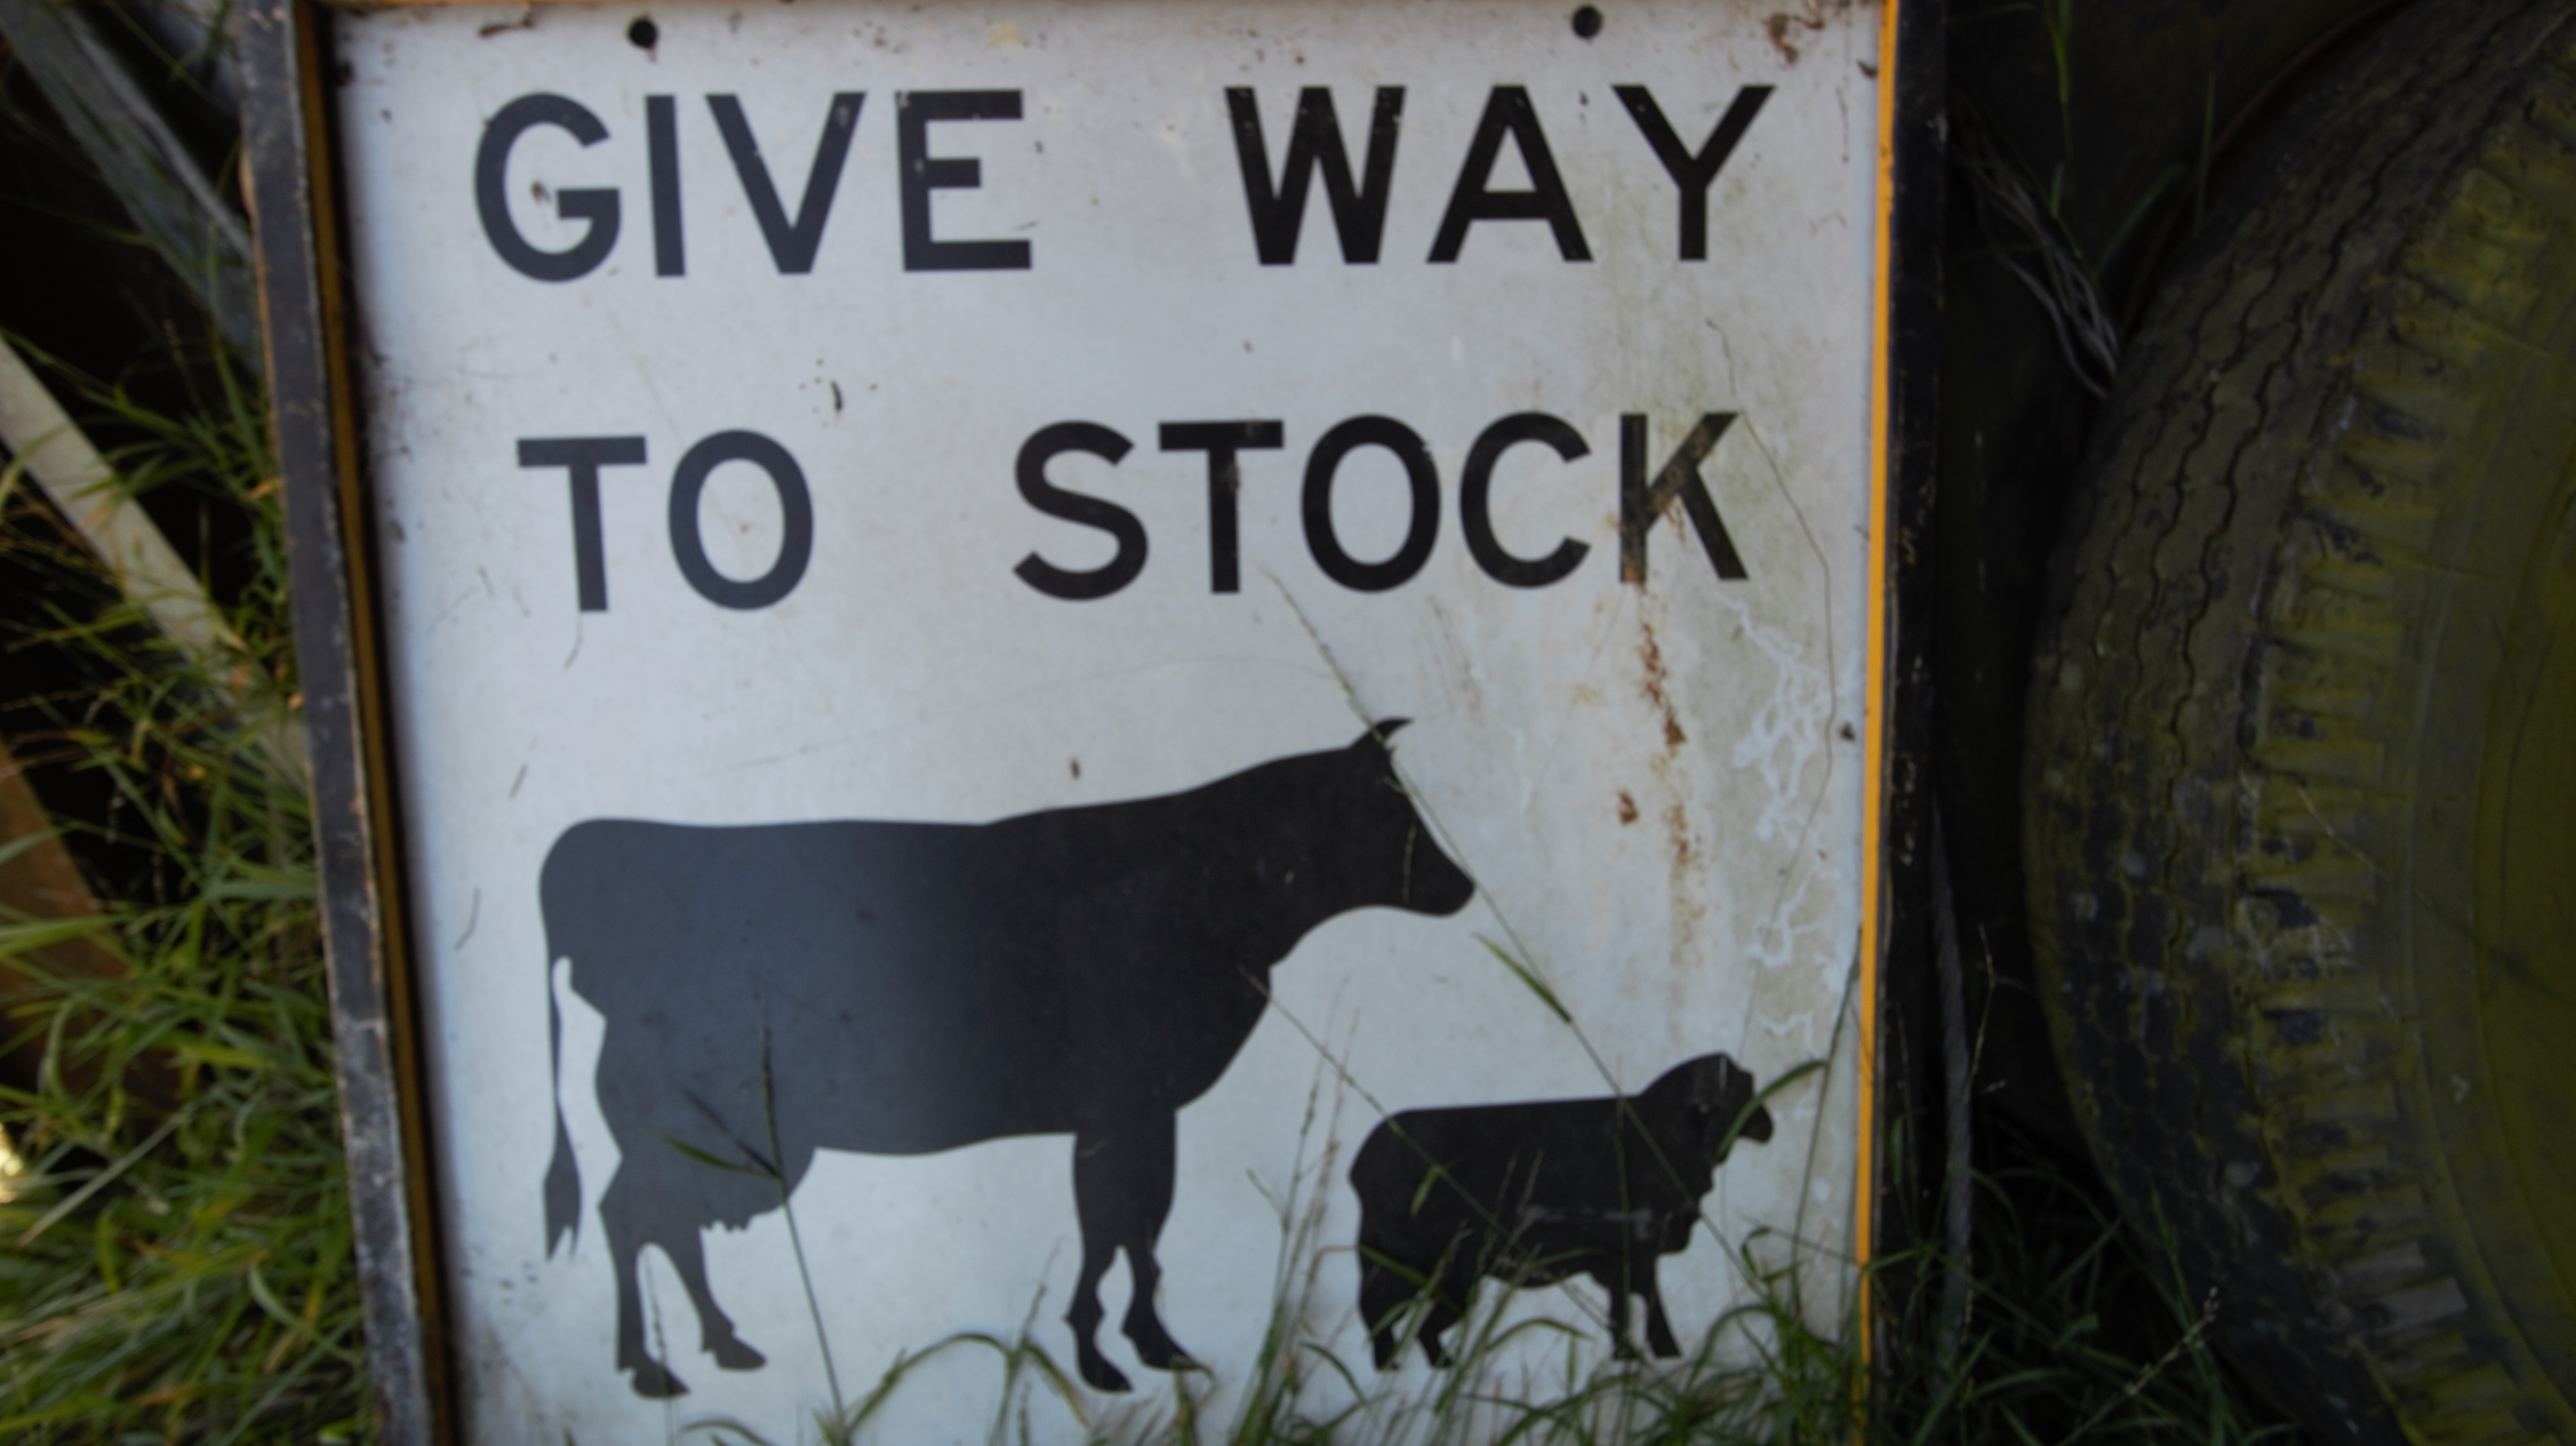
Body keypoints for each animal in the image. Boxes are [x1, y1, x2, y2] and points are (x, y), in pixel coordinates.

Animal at [540, 721, 1473, 1398]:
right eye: (1389, 812)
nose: (1463, 887)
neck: (1213, 889)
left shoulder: (1144, 1111)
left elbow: (1130, 1225)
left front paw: (1142, 1344)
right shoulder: (1129, 1105)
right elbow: (1116, 1225)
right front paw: (1110, 1351)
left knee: (654, 1221)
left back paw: (713, 1347)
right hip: (702, 1127)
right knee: (639, 1217)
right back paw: (660, 1365)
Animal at [1348, 1052, 1773, 1369]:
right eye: (1739, 1094)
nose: (1769, 1126)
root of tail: (1360, 1164)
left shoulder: (1619, 1259)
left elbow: (1624, 1310)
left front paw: (1629, 1356)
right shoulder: (1635, 1253)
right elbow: (1646, 1306)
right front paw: (1662, 1352)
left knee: (1412, 1323)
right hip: (1412, 1266)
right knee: (1378, 1310)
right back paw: (1395, 1365)